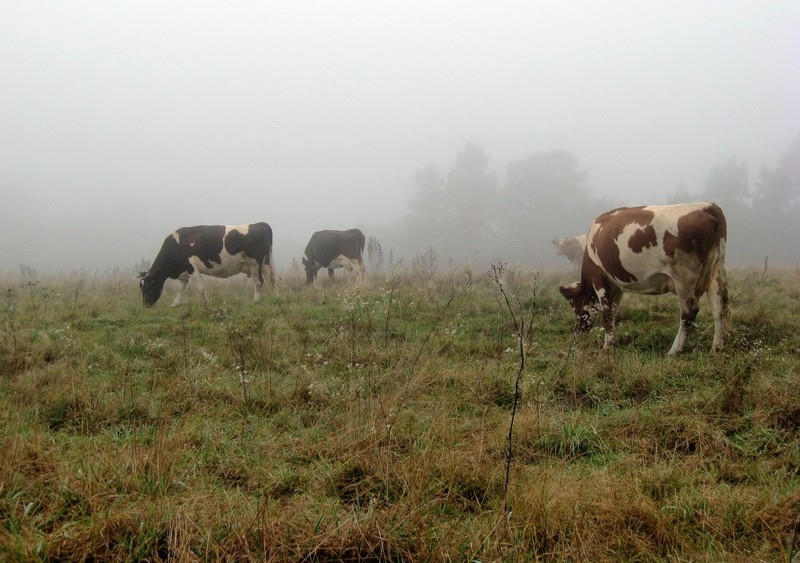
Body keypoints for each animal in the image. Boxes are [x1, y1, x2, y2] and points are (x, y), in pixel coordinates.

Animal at [138, 223, 276, 308]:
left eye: (148, 287)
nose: (145, 305)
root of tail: (259, 224)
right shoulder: (184, 271)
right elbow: (180, 288)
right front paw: (175, 304)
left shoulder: (191, 267)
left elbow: (201, 288)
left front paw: (206, 304)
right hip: (265, 263)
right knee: (271, 279)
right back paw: (275, 298)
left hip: (254, 263)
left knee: (259, 282)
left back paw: (255, 301)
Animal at [560, 203, 728, 354]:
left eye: (574, 304)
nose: (576, 329)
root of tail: (707, 207)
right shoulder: (616, 286)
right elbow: (613, 312)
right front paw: (611, 341)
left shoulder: (598, 277)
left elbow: (606, 312)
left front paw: (607, 346)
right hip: (716, 270)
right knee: (719, 306)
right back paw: (716, 347)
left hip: (684, 276)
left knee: (689, 311)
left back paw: (675, 350)